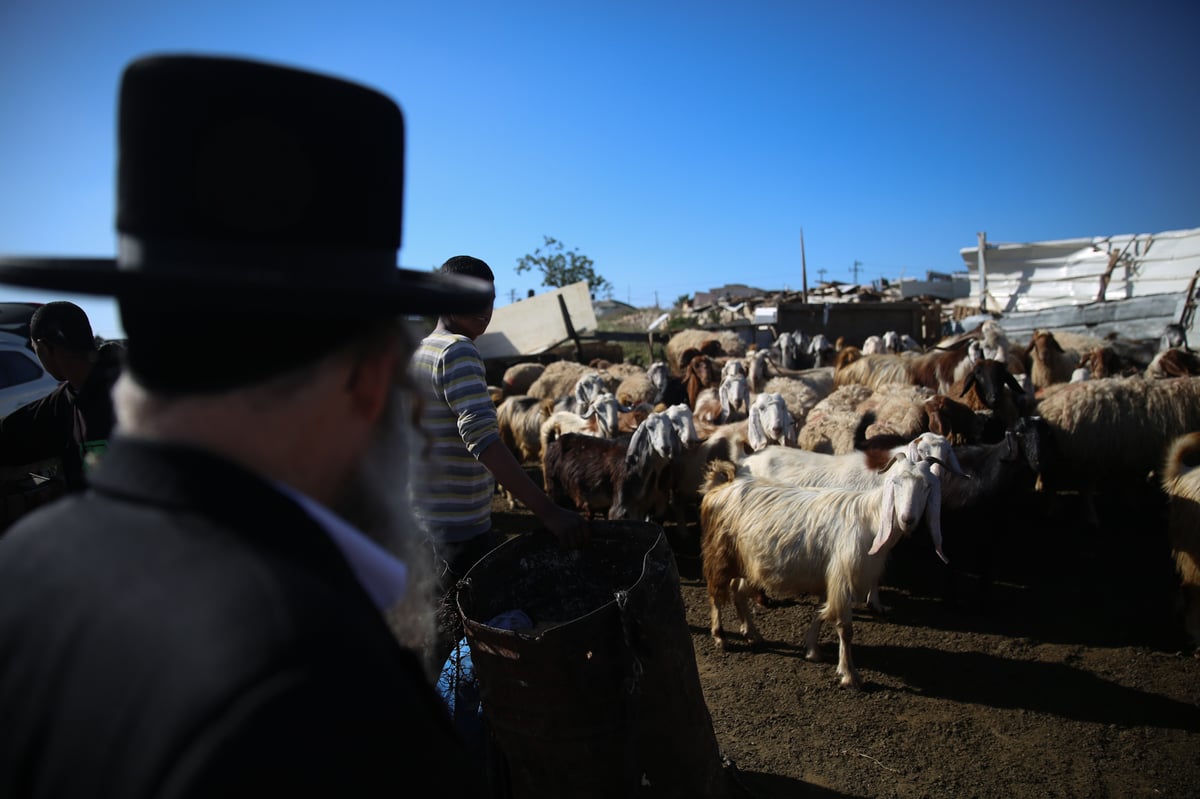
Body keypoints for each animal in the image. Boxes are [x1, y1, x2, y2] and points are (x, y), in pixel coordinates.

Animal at [700, 453, 945, 686]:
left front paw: (811, 650)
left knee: (737, 592)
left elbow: (820, 613)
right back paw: (721, 636)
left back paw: (752, 633)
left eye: (927, 486)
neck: (871, 518)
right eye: (895, 482)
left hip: (746, 560)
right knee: (716, 595)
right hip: (720, 554)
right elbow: (845, 628)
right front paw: (849, 675)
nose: (907, 519)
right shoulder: (842, 577)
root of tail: (721, 487)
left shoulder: (829, 577)